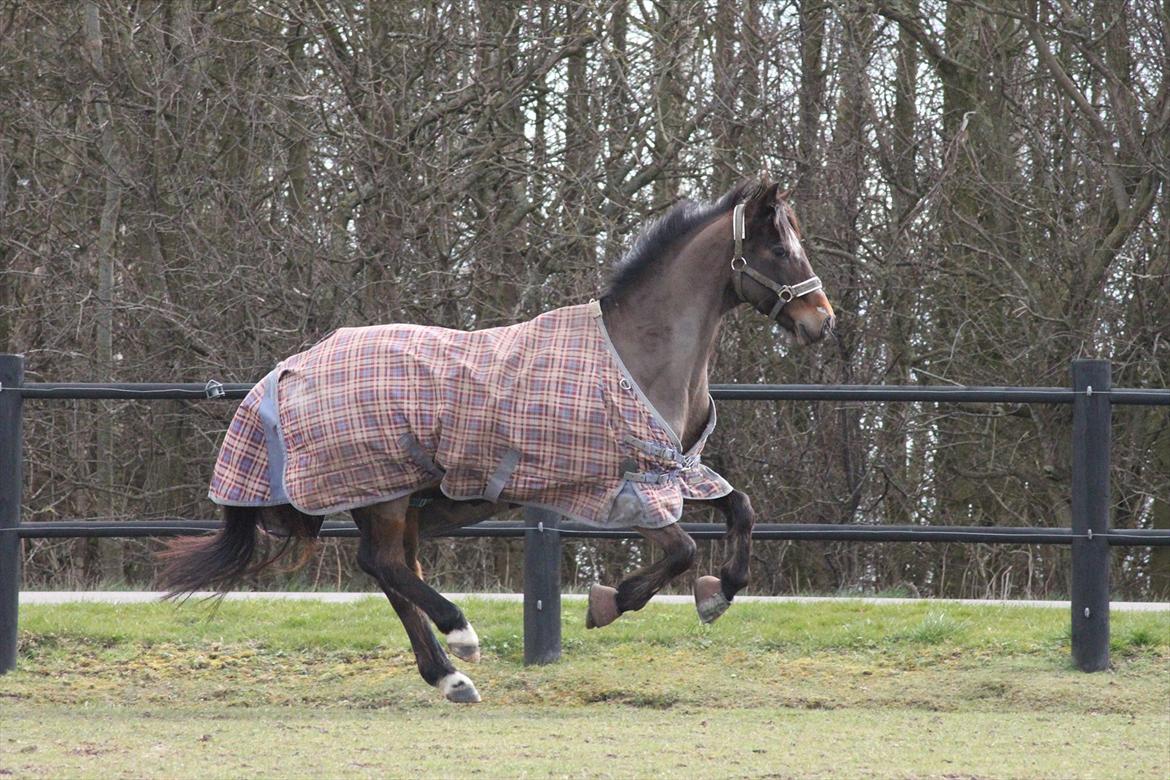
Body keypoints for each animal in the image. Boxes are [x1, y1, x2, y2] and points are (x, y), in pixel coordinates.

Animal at [159, 177, 835, 703]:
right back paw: (460, 637)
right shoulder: (629, 486)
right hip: (382, 492)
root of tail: (288, 370)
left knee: (391, 571)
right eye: (779, 246)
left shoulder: (676, 470)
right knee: (383, 565)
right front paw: (610, 602)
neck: (639, 355)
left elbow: (741, 510)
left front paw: (718, 594)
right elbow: (681, 551)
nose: (821, 321)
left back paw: (449, 678)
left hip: (397, 501)